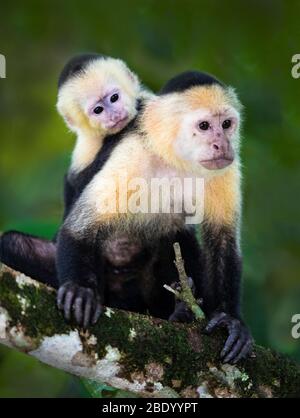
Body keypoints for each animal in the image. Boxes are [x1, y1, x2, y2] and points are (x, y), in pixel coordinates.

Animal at [0, 53, 154, 284]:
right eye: (98, 110)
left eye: (114, 98)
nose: (114, 115)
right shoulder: (85, 146)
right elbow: (78, 187)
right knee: (11, 243)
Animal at [54, 71, 253, 362]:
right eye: (204, 126)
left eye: (227, 124)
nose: (222, 144)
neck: (176, 160)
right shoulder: (133, 153)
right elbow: (79, 228)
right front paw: (80, 291)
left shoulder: (226, 168)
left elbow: (222, 241)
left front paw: (230, 320)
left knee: (175, 236)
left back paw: (182, 310)